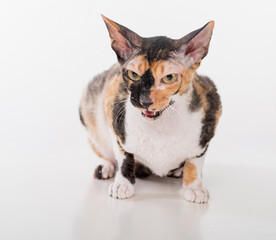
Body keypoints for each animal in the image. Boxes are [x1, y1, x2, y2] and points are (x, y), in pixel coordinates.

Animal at [80, 15, 222, 202]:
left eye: (169, 78)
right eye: (133, 75)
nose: (144, 101)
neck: (160, 126)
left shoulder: (211, 108)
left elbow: (195, 161)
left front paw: (194, 187)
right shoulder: (113, 108)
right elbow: (124, 155)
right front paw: (122, 184)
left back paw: (178, 171)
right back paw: (106, 166)